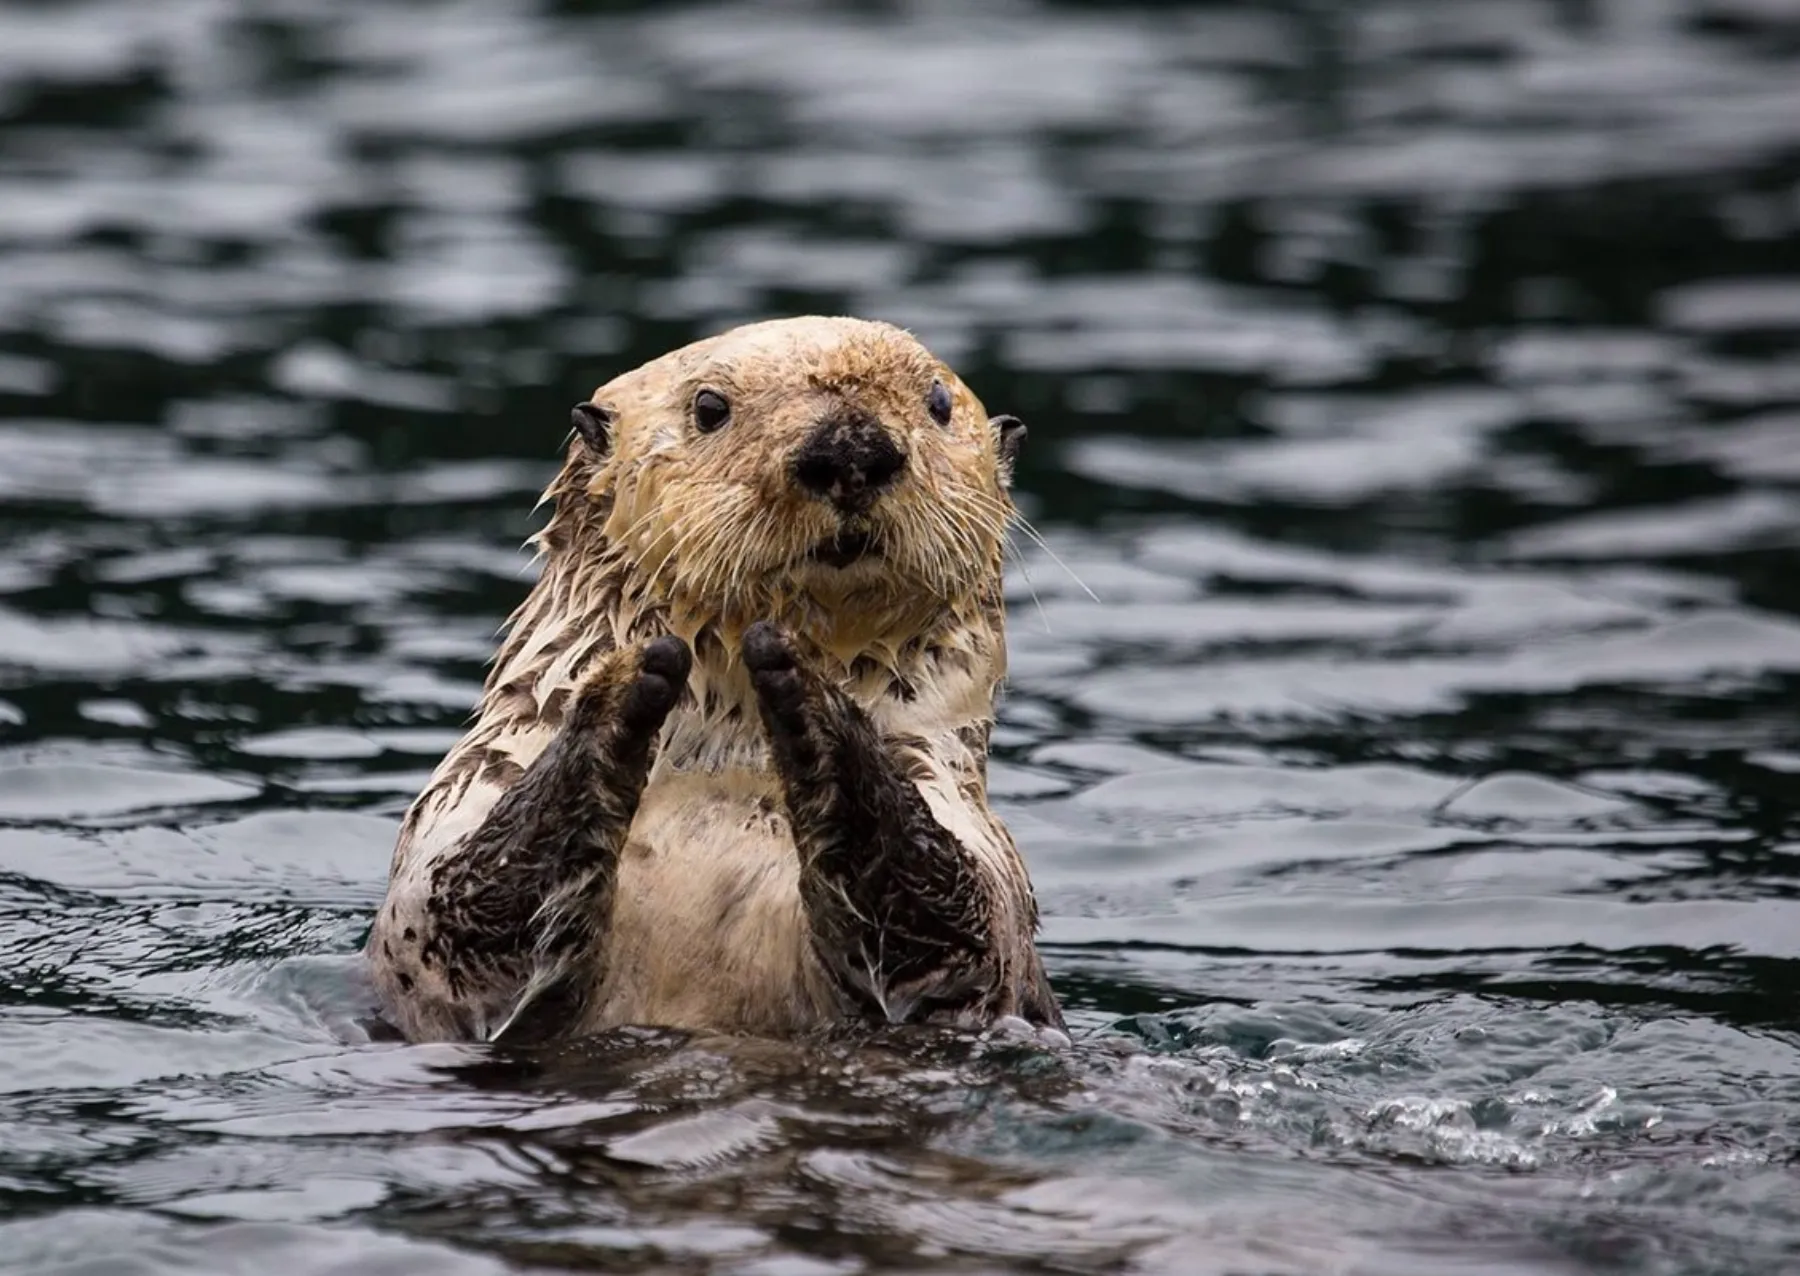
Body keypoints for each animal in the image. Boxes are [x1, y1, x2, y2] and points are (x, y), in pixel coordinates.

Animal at [365, 316, 1061, 1044]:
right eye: (708, 407)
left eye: (939, 403)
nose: (850, 448)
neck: (726, 767)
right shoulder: (455, 819)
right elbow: (466, 915)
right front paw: (628, 679)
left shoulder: (981, 854)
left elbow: (949, 924)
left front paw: (801, 681)